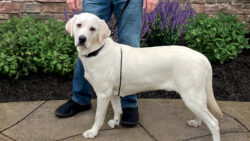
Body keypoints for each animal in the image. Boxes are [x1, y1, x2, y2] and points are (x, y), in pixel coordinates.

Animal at [66, 12, 223, 140]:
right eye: (79, 25)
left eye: (92, 29)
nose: (81, 38)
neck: (97, 50)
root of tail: (201, 56)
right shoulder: (113, 92)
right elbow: (117, 109)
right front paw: (115, 122)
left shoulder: (103, 94)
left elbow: (98, 117)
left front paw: (93, 132)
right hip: (195, 96)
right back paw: (196, 122)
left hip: (191, 96)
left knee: (214, 122)